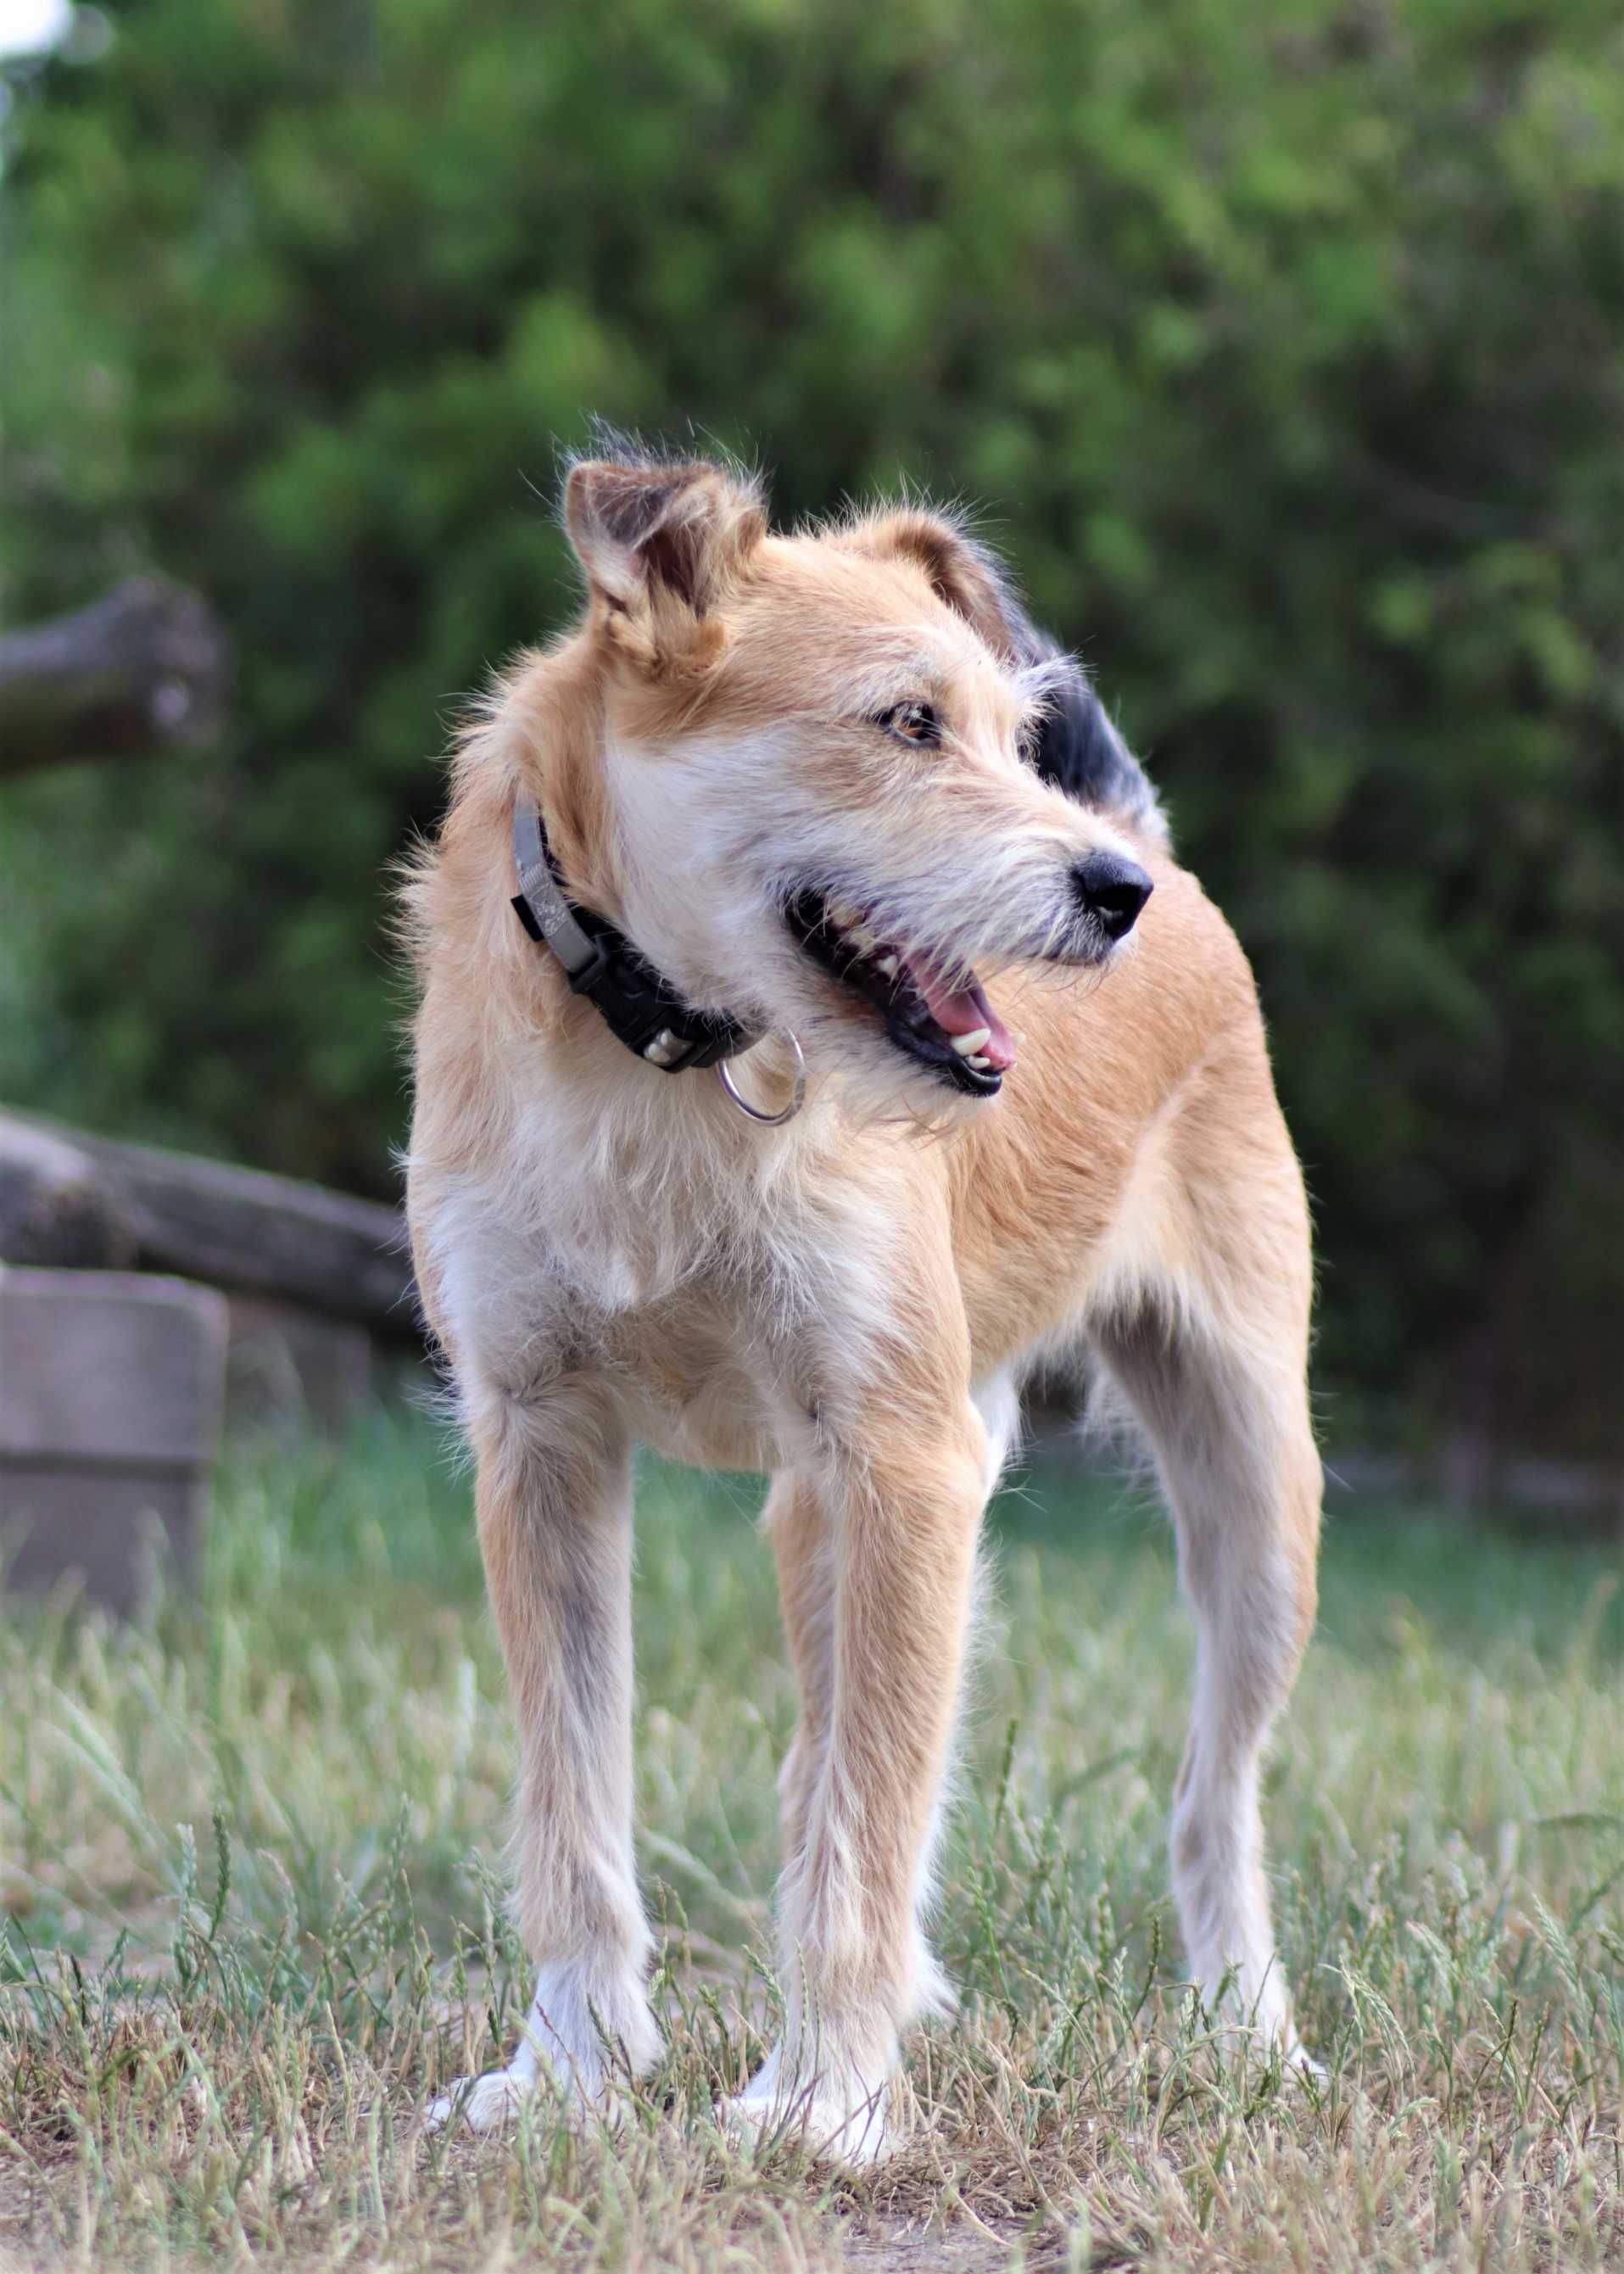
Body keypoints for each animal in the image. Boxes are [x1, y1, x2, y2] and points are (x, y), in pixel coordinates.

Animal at [402, 443, 1319, 2165]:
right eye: (905, 723)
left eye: (1006, 734)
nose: (1114, 896)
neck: (669, 1063)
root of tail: (1153, 834)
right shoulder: (541, 1443)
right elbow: (577, 1807)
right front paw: (568, 2070)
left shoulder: (895, 1459)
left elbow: (861, 1823)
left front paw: (825, 2100)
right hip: (829, 1513)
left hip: (1249, 1492)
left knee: (1208, 1800)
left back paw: (1249, 2028)